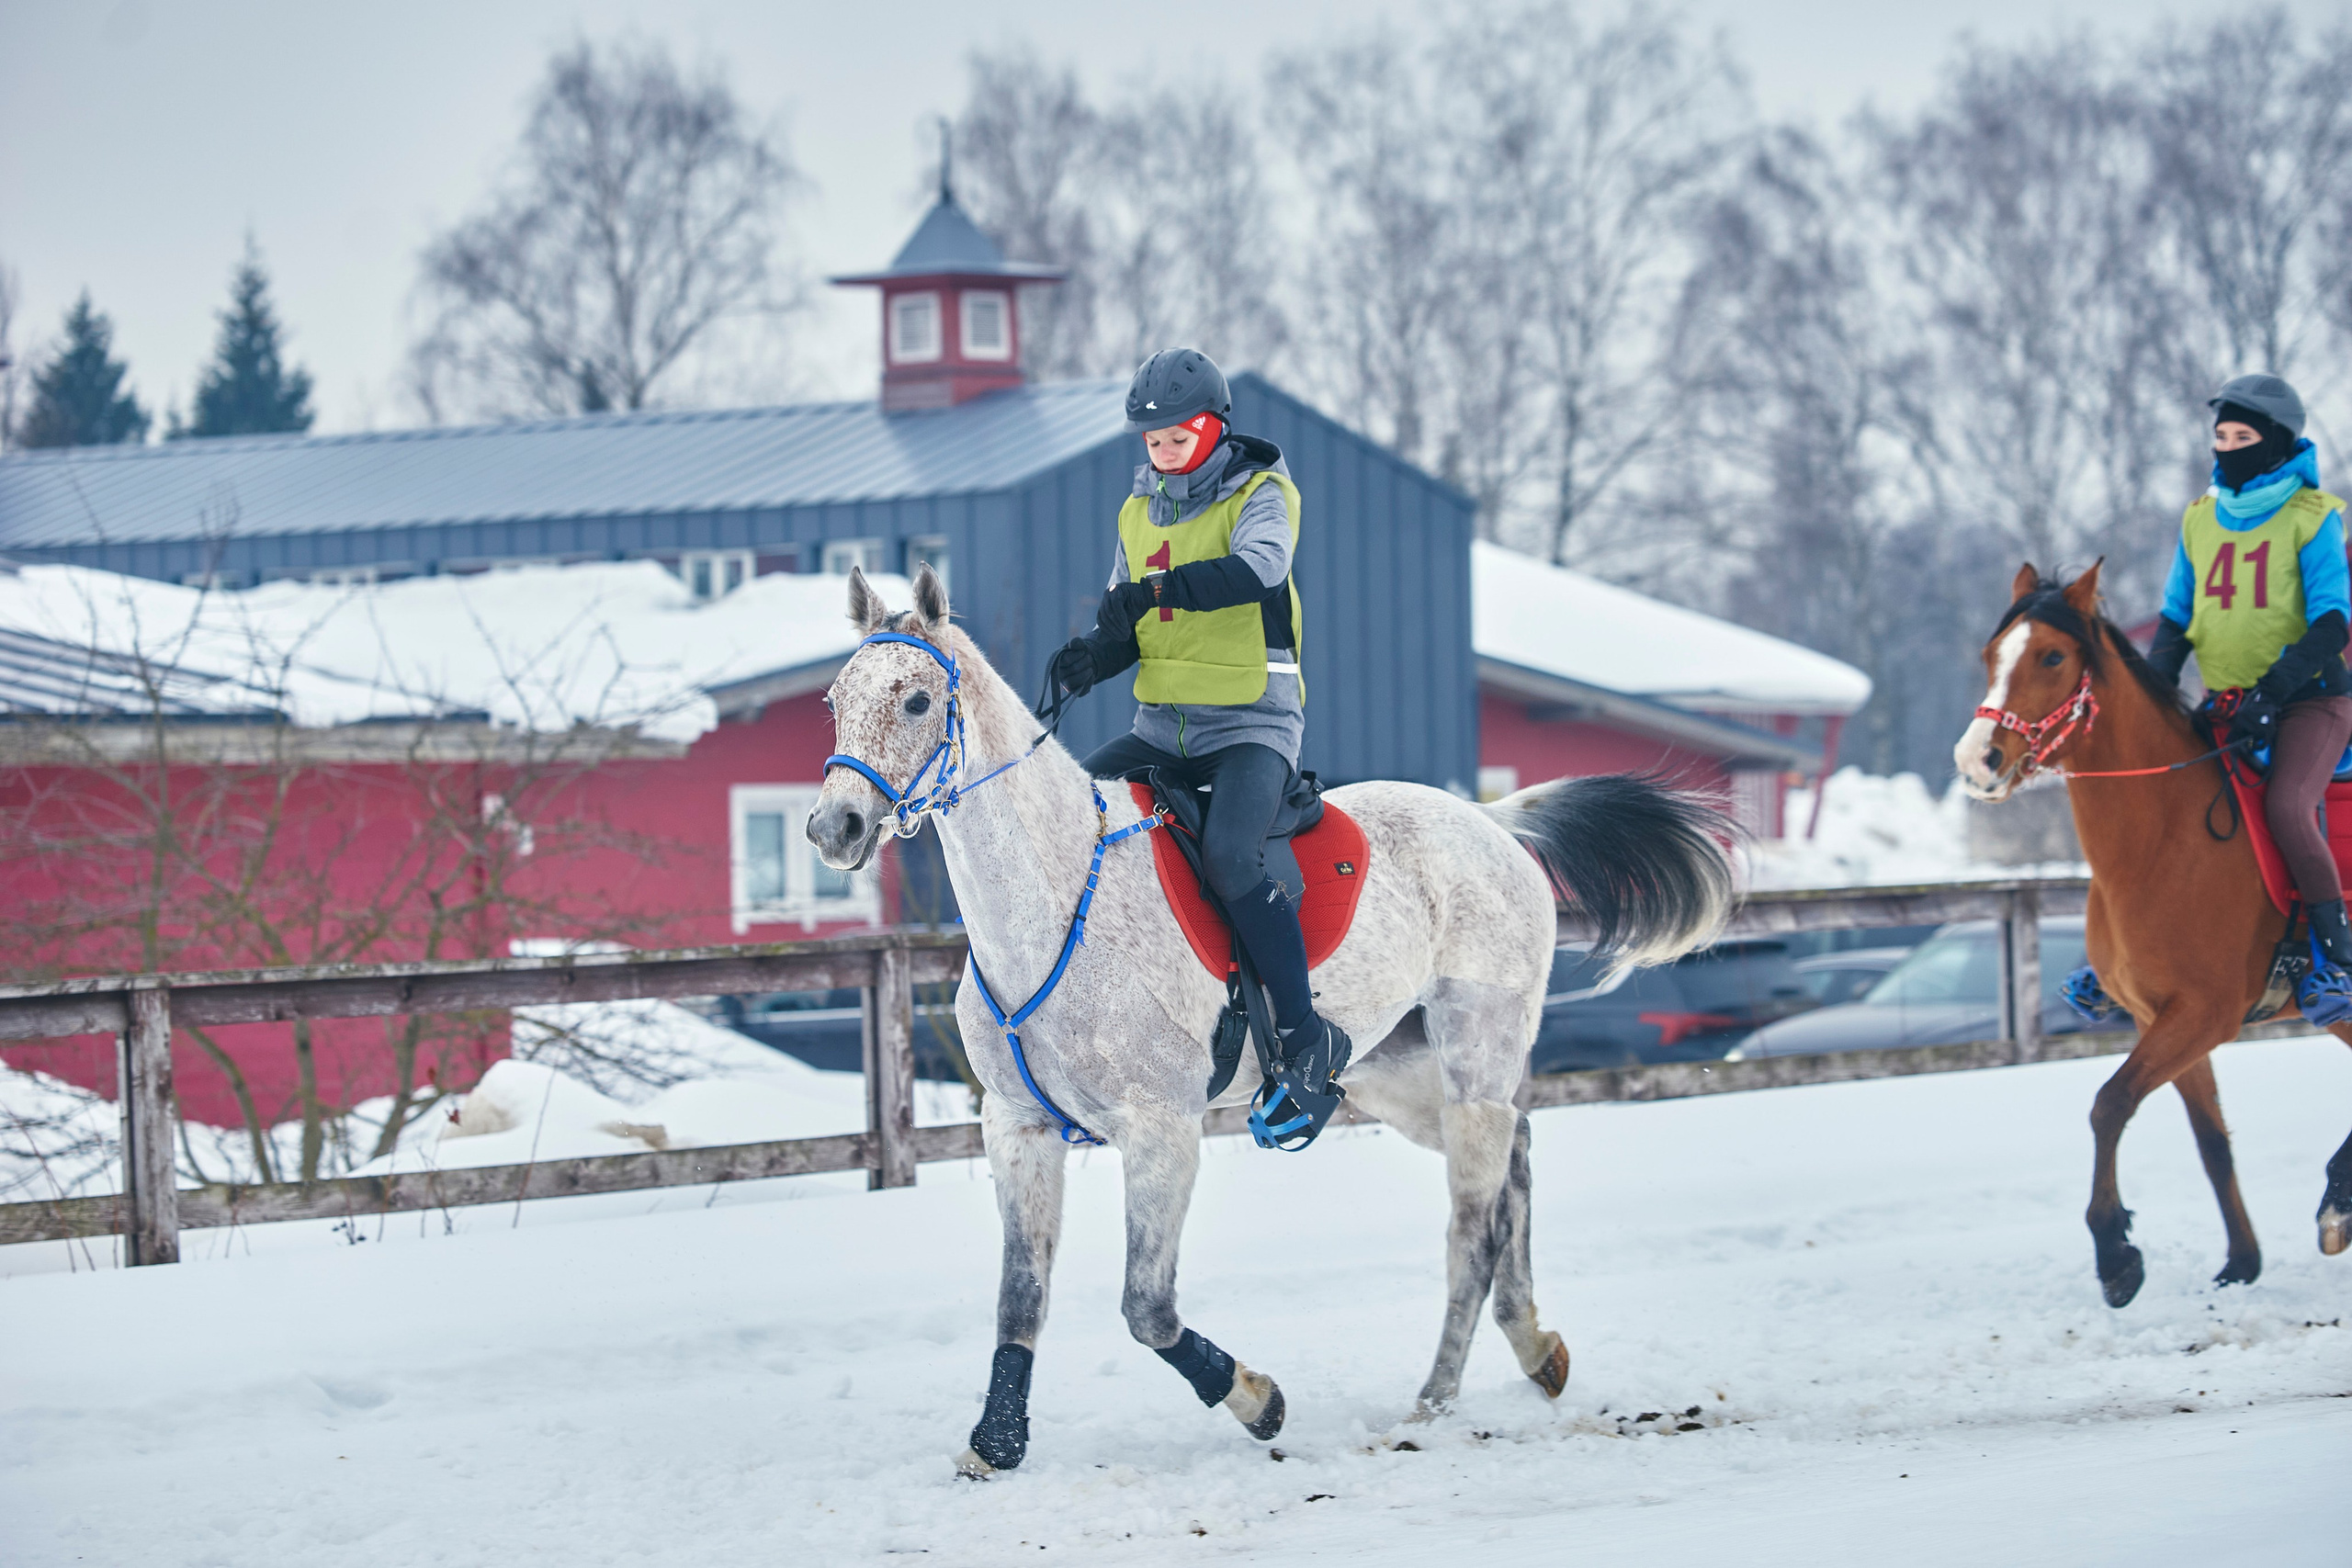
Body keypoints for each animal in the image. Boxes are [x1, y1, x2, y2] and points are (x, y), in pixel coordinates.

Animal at [806, 564, 1737, 1474]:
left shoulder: (1161, 1132)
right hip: (1399, 1076)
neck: (1055, 904)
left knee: (1472, 1229)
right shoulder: (1019, 1127)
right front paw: (996, 1442)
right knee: (1518, 1154)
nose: (833, 826)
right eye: (836, 698)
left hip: (1477, 1053)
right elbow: (1019, 1296)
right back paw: (1536, 1346)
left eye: (917, 700)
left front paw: (1259, 1401)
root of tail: (1488, 822)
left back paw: (1431, 1403)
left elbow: (1147, 1307)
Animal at [1954, 561, 2352, 1308]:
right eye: (1991, 655)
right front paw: (2240, 1262)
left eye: (2052, 656)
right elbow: (2209, 1138)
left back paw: (2337, 1200)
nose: (1976, 760)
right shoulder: (2159, 1016)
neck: (2164, 839)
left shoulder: (2204, 1013)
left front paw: (2115, 1253)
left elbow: (2109, 1104)